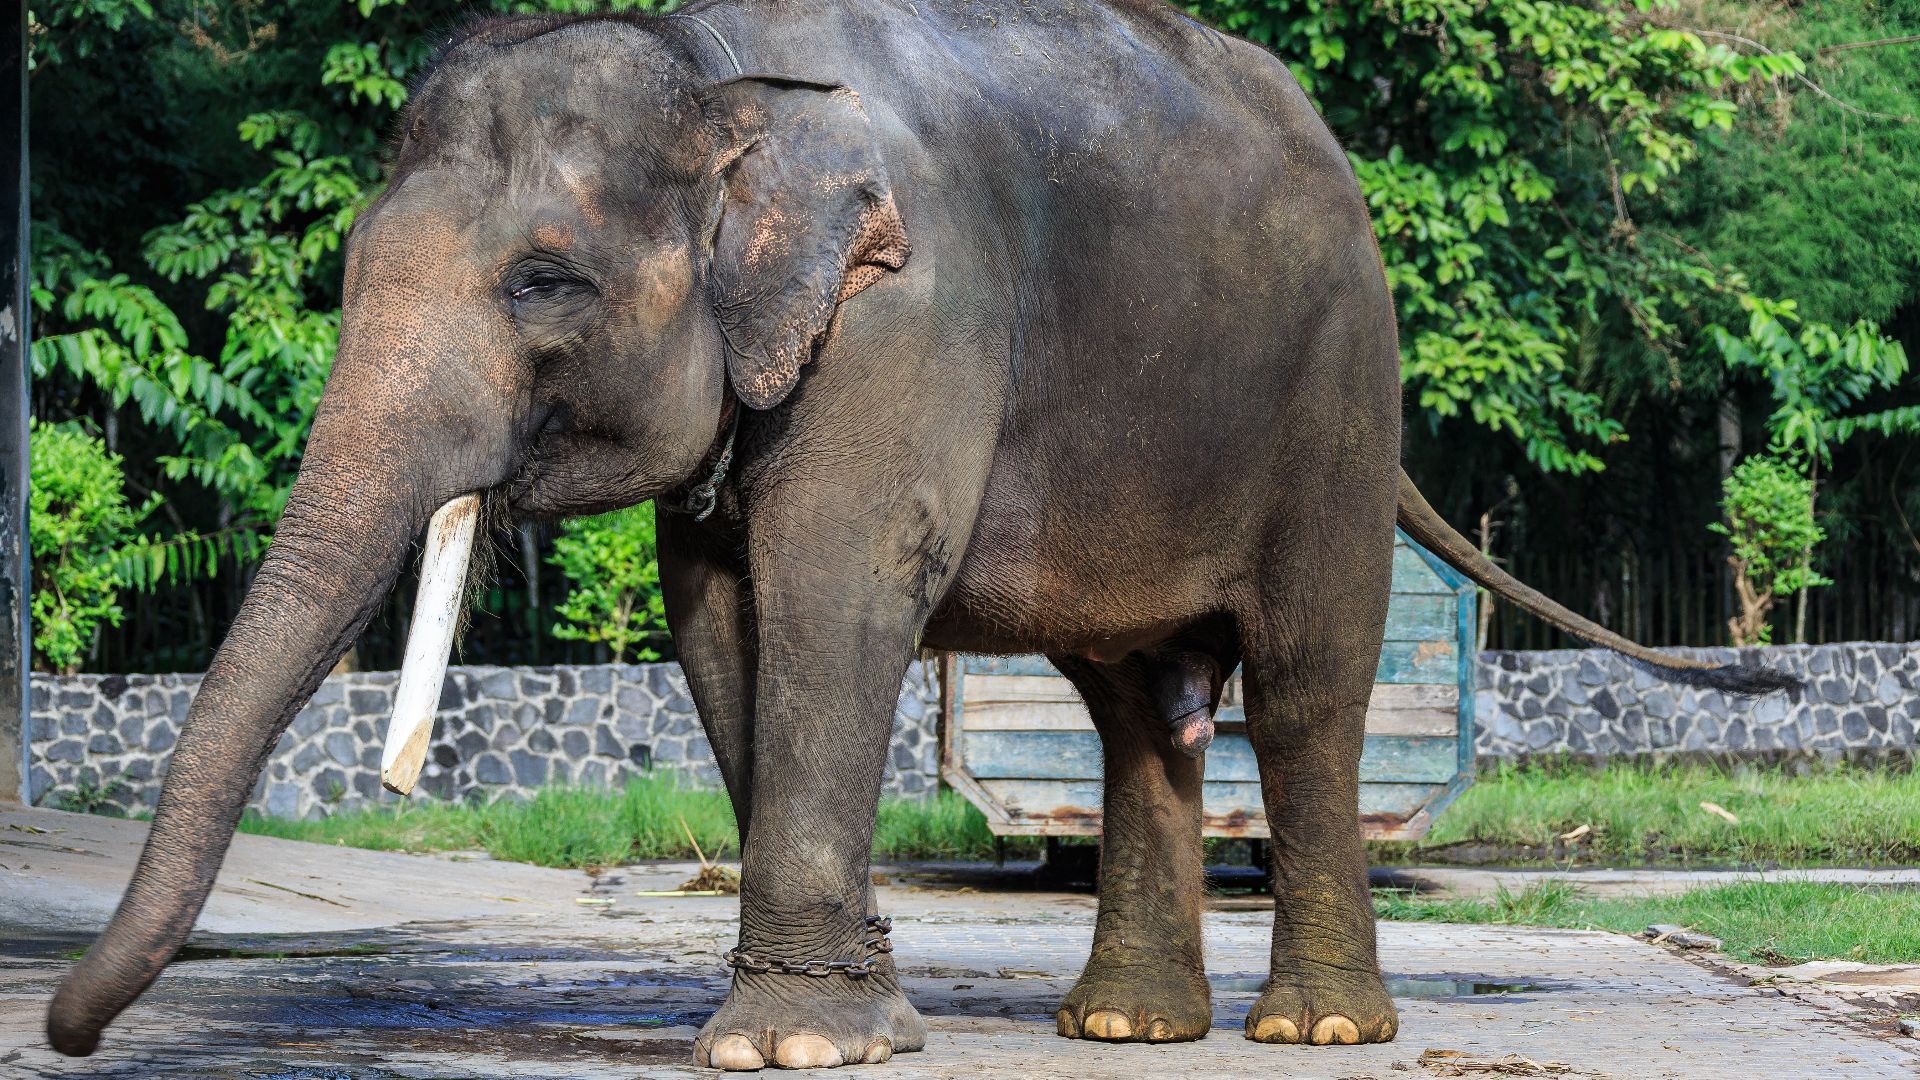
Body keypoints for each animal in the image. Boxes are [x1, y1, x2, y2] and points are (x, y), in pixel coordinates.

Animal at [47, 0, 1791, 1070]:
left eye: (544, 283)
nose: (66, 1031)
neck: (724, 77)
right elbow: (724, 623)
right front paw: (843, 1015)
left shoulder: (909, 321)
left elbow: (837, 590)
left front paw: (797, 1044)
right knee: (1139, 708)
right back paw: (1128, 1030)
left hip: (1341, 395)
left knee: (1304, 682)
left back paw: (1314, 1034)